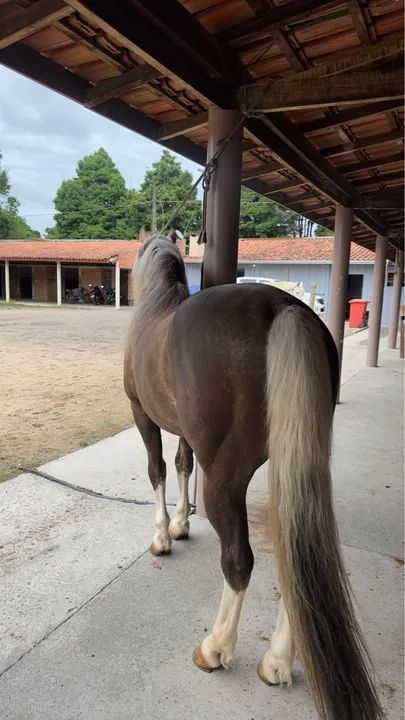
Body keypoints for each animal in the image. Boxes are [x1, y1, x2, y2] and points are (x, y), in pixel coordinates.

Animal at [124, 233, 382, 720]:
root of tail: (283, 307)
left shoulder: (142, 415)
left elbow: (158, 469)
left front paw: (163, 535)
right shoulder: (184, 432)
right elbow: (183, 464)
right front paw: (182, 525)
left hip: (227, 479)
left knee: (239, 561)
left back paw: (215, 649)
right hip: (294, 467)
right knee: (293, 551)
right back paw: (277, 661)